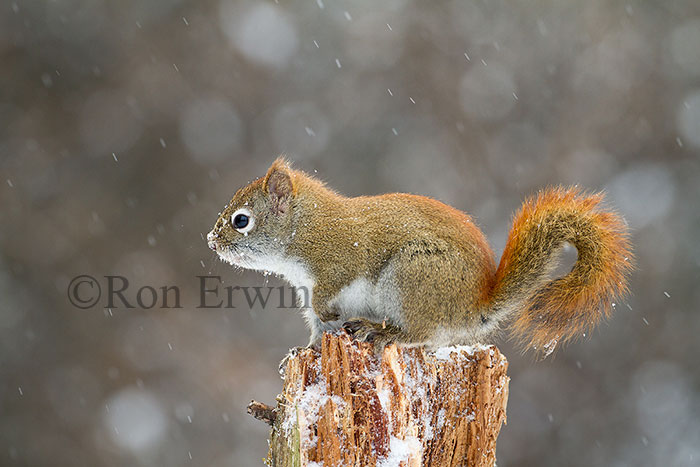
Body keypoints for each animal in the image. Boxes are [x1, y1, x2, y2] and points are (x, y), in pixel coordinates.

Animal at [207, 158, 633, 354]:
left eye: (241, 220)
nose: (211, 241)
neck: (305, 228)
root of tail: (472, 307)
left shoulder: (339, 260)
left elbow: (330, 295)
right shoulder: (306, 293)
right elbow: (315, 325)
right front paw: (306, 349)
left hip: (413, 275)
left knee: (418, 333)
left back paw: (380, 331)